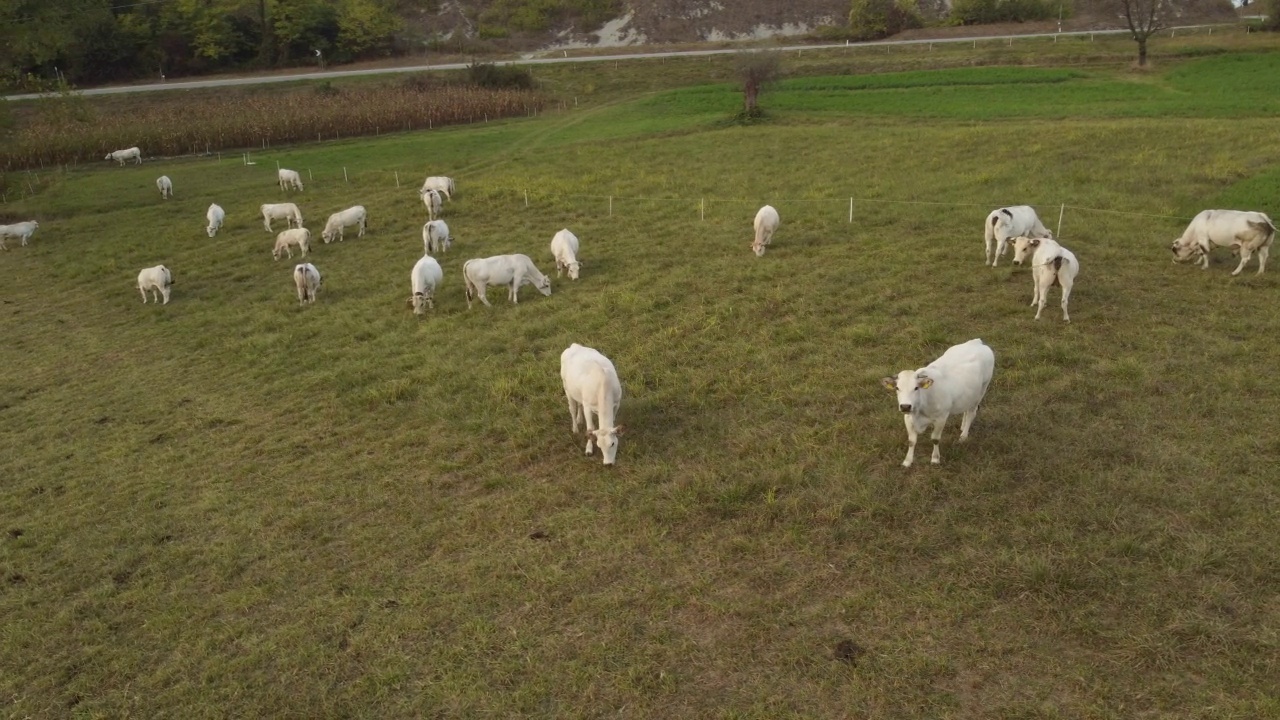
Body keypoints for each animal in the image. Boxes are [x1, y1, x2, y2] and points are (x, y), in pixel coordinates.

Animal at [885, 338, 993, 468]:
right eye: (897, 388)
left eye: (916, 388)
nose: (905, 406)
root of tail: (976, 342)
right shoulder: (908, 418)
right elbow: (911, 441)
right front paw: (907, 461)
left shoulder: (941, 418)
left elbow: (935, 439)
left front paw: (935, 459)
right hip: (969, 394)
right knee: (967, 410)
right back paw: (962, 426)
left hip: (982, 390)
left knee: (972, 412)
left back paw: (963, 435)